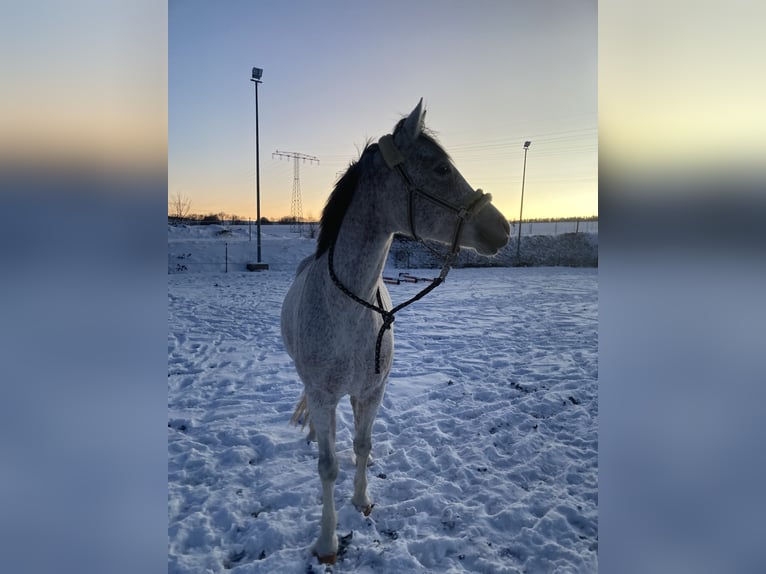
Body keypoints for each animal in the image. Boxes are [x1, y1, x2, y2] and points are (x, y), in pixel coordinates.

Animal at [280, 100, 510, 568]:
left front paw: (362, 502)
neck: (351, 307)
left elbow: (363, 446)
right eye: (441, 168)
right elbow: (328, 466)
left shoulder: (372, 392)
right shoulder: (324, 394)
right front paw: (327, 543)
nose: (503, 228)